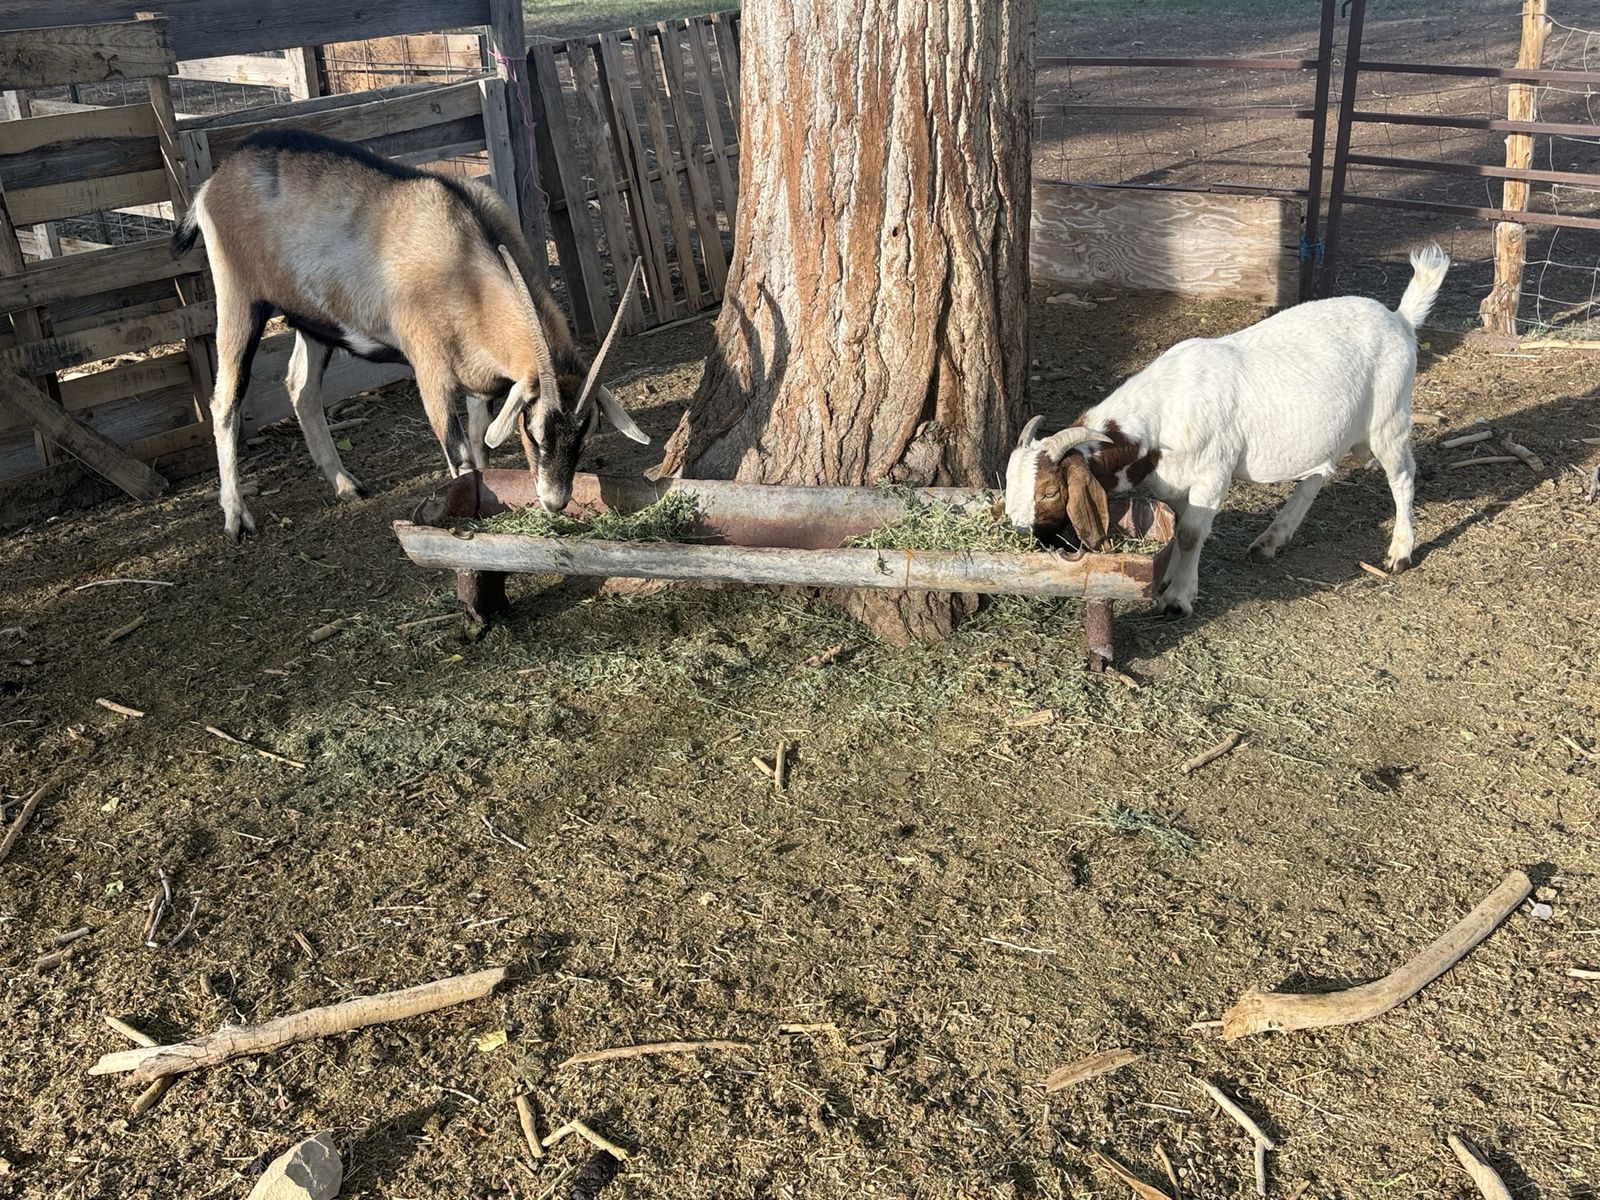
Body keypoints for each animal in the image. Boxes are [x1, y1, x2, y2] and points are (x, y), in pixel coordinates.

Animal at [171, 128, 647, 540]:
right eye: (534, 430)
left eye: (586, 432)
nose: (554, 502)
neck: (464, 262)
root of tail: (214, 182)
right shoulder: (432, 375)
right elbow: (461, 459)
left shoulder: (480, 384)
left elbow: (482, 449)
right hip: (239, 301)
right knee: (225, 401)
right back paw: (237, 518)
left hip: (315, 323)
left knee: (301, 388)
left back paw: (346, 485)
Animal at [1006, 243, 1451, 615]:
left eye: (1050, 491)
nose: (1018, 532)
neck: (1164, 410)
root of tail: (1400, 318)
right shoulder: (1176, 483)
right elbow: (1179, 530)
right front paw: (1169, 579)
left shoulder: (1212, 473)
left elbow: (1190, 533)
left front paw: (1178, 598)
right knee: (1317, 477)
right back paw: (1271, 540)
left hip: (1388, 420)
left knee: (1402, 477)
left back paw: (1399, 552)